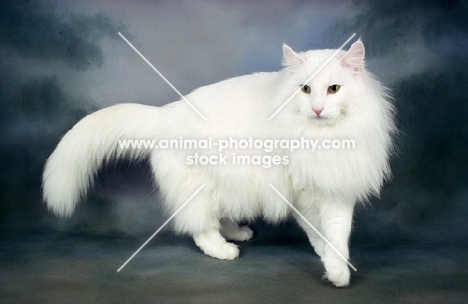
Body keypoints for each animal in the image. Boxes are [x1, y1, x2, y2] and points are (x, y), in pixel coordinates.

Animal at [43, 41, 394, 288]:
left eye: (333, 89)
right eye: (305, 89)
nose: (318, 108)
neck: (323, 137)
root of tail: (166, 113)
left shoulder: (337, 192)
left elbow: (337, 232)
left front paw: (336, 263)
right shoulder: (303, 194)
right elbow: (320, 231)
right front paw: (333, 268)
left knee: (217, 215)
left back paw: (237, 233)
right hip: (201, 185)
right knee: (200, 227)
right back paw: (223, 249)